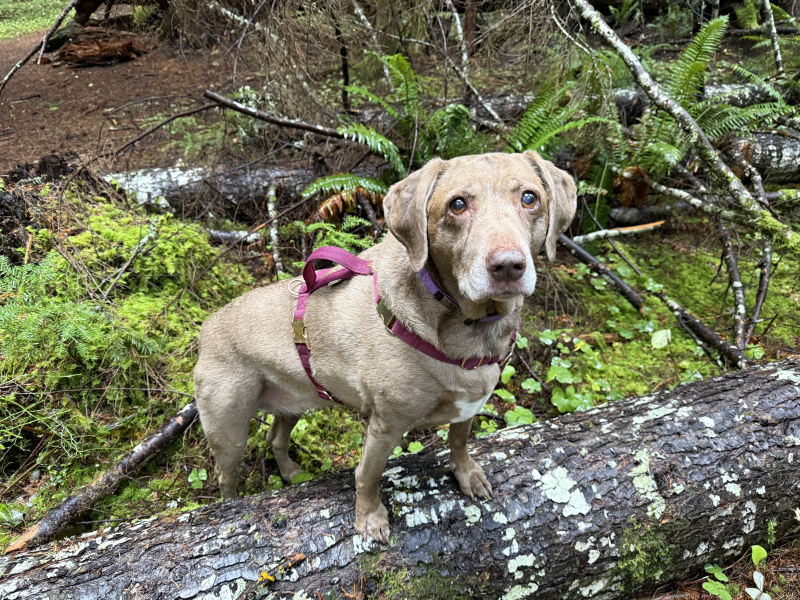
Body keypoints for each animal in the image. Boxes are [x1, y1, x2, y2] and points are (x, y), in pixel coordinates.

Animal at [194, 151, 576, 543]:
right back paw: (230, 505)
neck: (467, 328)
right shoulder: (385, 425)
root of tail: (207, 327)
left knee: (275, 438)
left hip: (295, 401)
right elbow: (367, 475)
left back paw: (290, 472)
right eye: (457, 204)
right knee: (226, 474)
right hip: (228, 429)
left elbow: (459, 441)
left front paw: (467, 474)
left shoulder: (469, 406)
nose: (508, 265)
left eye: (529, 198)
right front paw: (369, 518)